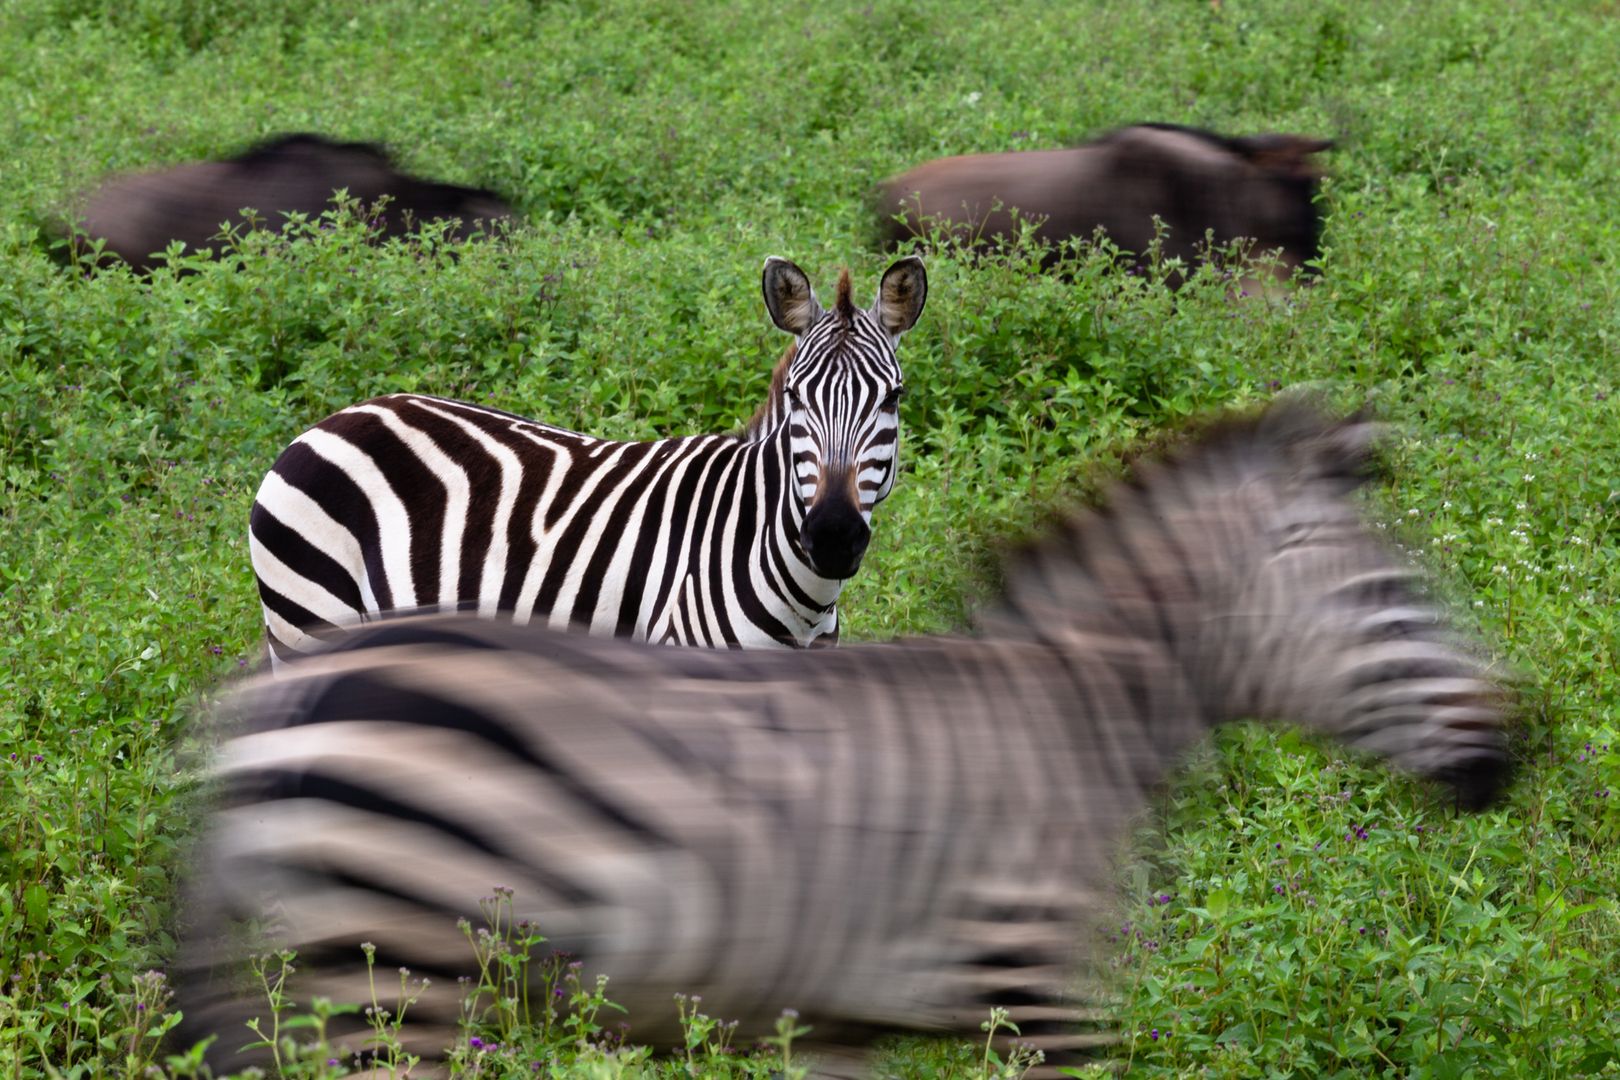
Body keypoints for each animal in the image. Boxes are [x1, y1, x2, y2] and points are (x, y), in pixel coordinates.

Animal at [175, 399, 1509, 1076]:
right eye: (1391, 597)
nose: (1520, 749)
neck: (1074, 708)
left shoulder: (833, 1012)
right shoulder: (1041, 989)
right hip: (399, 940)